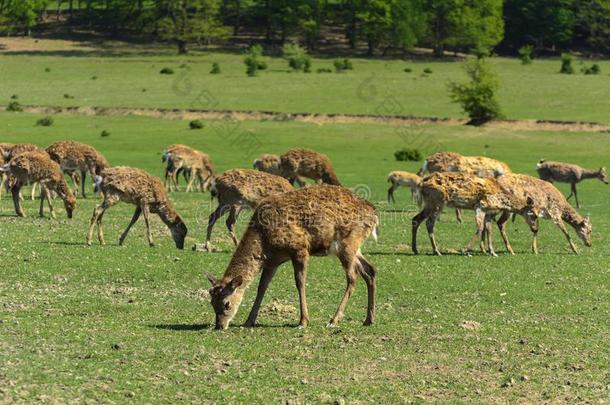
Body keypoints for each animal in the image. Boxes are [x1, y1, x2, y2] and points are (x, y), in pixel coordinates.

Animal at [205, 185, 376, 330]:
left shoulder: (299, 248)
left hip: (348, 244)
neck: (264, 241)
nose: (219, 326)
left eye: (227, 303)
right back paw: (369, 319)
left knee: (353, 276)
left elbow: (300, 283)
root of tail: (374, 214)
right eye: (211, 302)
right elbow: (262, 287)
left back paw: (334, 320)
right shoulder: (272, 262)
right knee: (370, 270)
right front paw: (248, 321)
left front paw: (303, 321)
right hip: (353, 247)